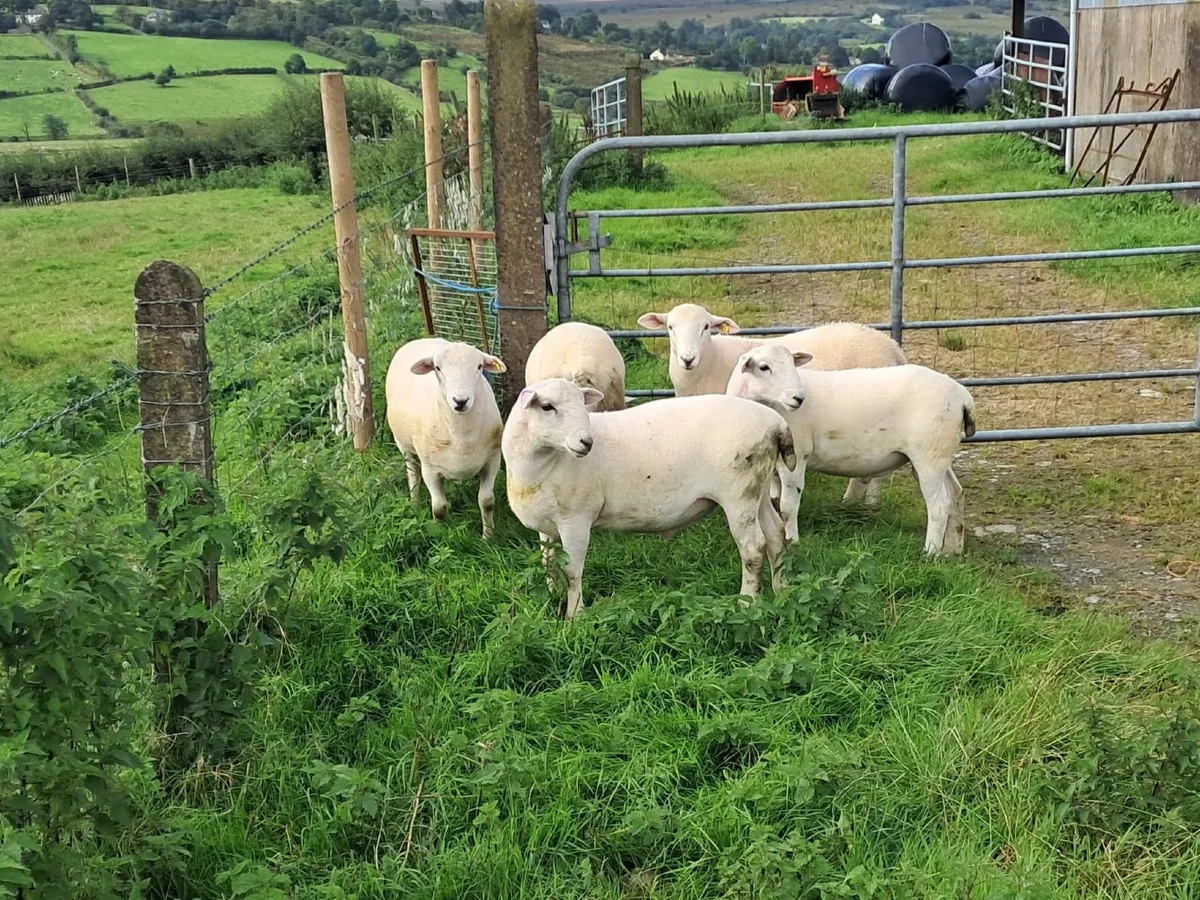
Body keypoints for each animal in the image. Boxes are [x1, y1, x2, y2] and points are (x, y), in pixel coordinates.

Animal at [384, 337, 507, 539]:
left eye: (479, 366)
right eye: (437, 368)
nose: (460, 401)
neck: (461, 434)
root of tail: (421, 339)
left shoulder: (492, 460)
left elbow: (487, 502)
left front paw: (488, 537)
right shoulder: (430, 469)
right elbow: (439, 508)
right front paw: (442, 537)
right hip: (403, 445)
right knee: (412, 474)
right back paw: (414, 504)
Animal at [501, 377, 795, 619]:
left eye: (582, 404)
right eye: (547, 406)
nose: (586, 442)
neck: (542, 465)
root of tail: (776, 423)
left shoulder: (576, 520)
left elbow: (573, 572)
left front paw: (574, 617)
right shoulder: (546, 524)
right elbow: (548, 563)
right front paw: (553, 596)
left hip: (739, 495)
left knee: (753, 549)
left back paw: (747, 604)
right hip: (758, 490)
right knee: (775, 535)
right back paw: (781, 591)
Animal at [636, 302, 907, 507]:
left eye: (705, 327)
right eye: (670, 327)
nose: (687, 359)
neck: (710, 363)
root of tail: (891, 346)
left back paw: (857, 502)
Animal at [725, 343, 976, 555]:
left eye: (792, 364)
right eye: (764, 367)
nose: (798, 398)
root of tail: (962, 395)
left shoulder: (798, 457)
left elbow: (788, 506)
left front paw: (792, 541)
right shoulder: (777, 464)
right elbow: (776, 502)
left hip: (928, 455)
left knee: (939, 505)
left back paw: (930, 553)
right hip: (939, 453)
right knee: (956, 493)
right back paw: (953, 549)